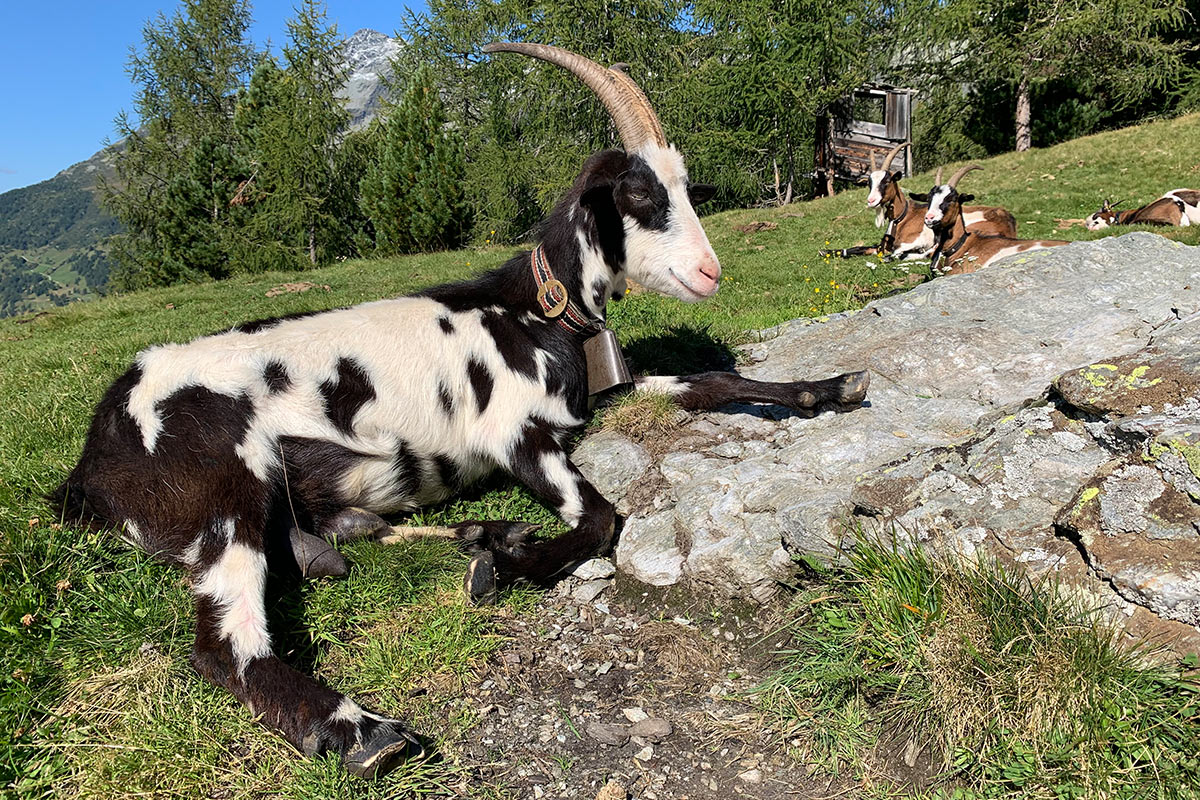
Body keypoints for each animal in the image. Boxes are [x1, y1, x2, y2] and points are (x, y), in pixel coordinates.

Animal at [51, 42, 870, 779]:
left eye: (686, 185)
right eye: (640, 197)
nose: (709, 272)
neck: (534, 310)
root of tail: (94, 456)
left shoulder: (599, 395)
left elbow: (709, 381)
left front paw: (832, 387)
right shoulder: (517, 435)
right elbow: (602, 518)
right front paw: (507, 569)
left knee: (336, 536)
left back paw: (467, 534)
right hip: (223, 478)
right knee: (226, 643)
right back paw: (365, 731)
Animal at [822, 143, 1017, 261]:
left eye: (887, 180)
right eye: (869, 182)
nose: (871, 201)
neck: (902, 217)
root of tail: (1009, 221)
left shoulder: (917, 240)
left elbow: (898, 251)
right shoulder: (881, 246)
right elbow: (859, 248)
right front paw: (826, 251)